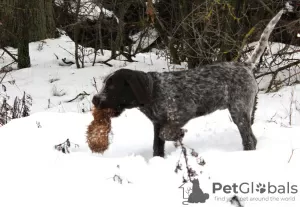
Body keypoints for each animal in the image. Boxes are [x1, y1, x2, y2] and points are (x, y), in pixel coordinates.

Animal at [93, 4, 290, 157]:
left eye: (112, 86)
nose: (95, 99)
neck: (153, 91)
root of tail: (245, 66)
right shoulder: (157, 124)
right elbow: (157, 146)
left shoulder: (183, 112)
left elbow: (166, 133)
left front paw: (179, 134)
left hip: (238, 110)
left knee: (249, 139)